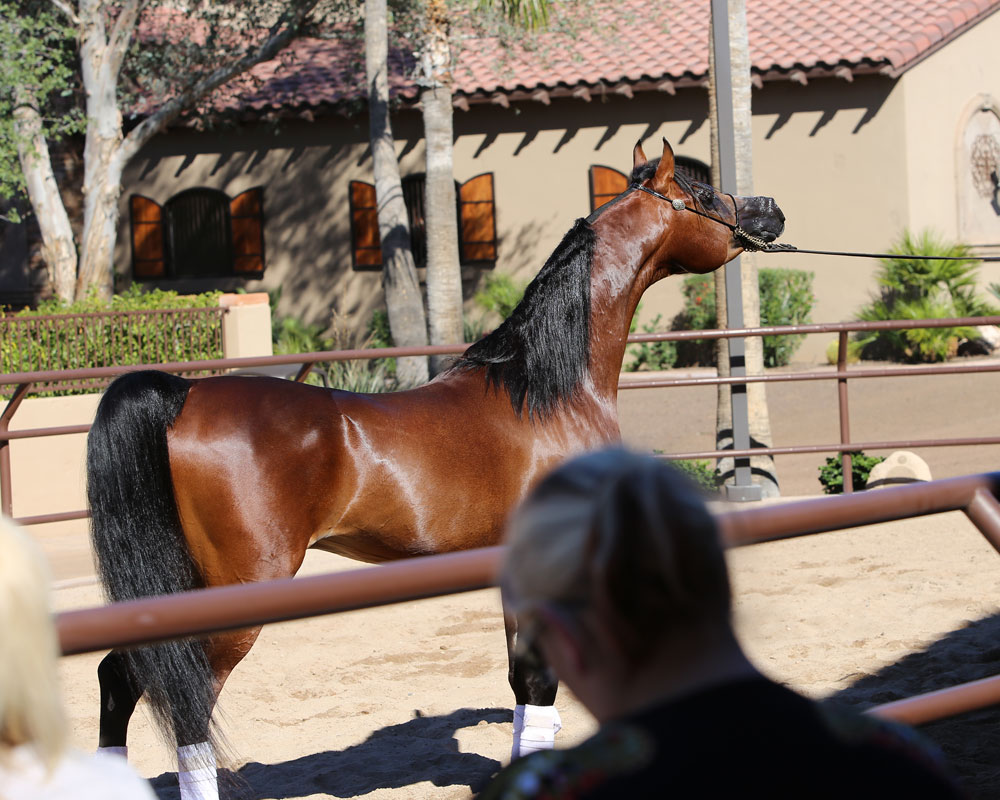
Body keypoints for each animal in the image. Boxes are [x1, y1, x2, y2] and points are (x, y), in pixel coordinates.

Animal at [86, 139, 785, 799]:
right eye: (704, 192)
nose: (769, 209)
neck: (547, 391)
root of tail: (183, 394)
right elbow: (541, 680)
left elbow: (524, 678)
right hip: (236, 594)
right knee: (187, 698)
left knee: (120, 677)